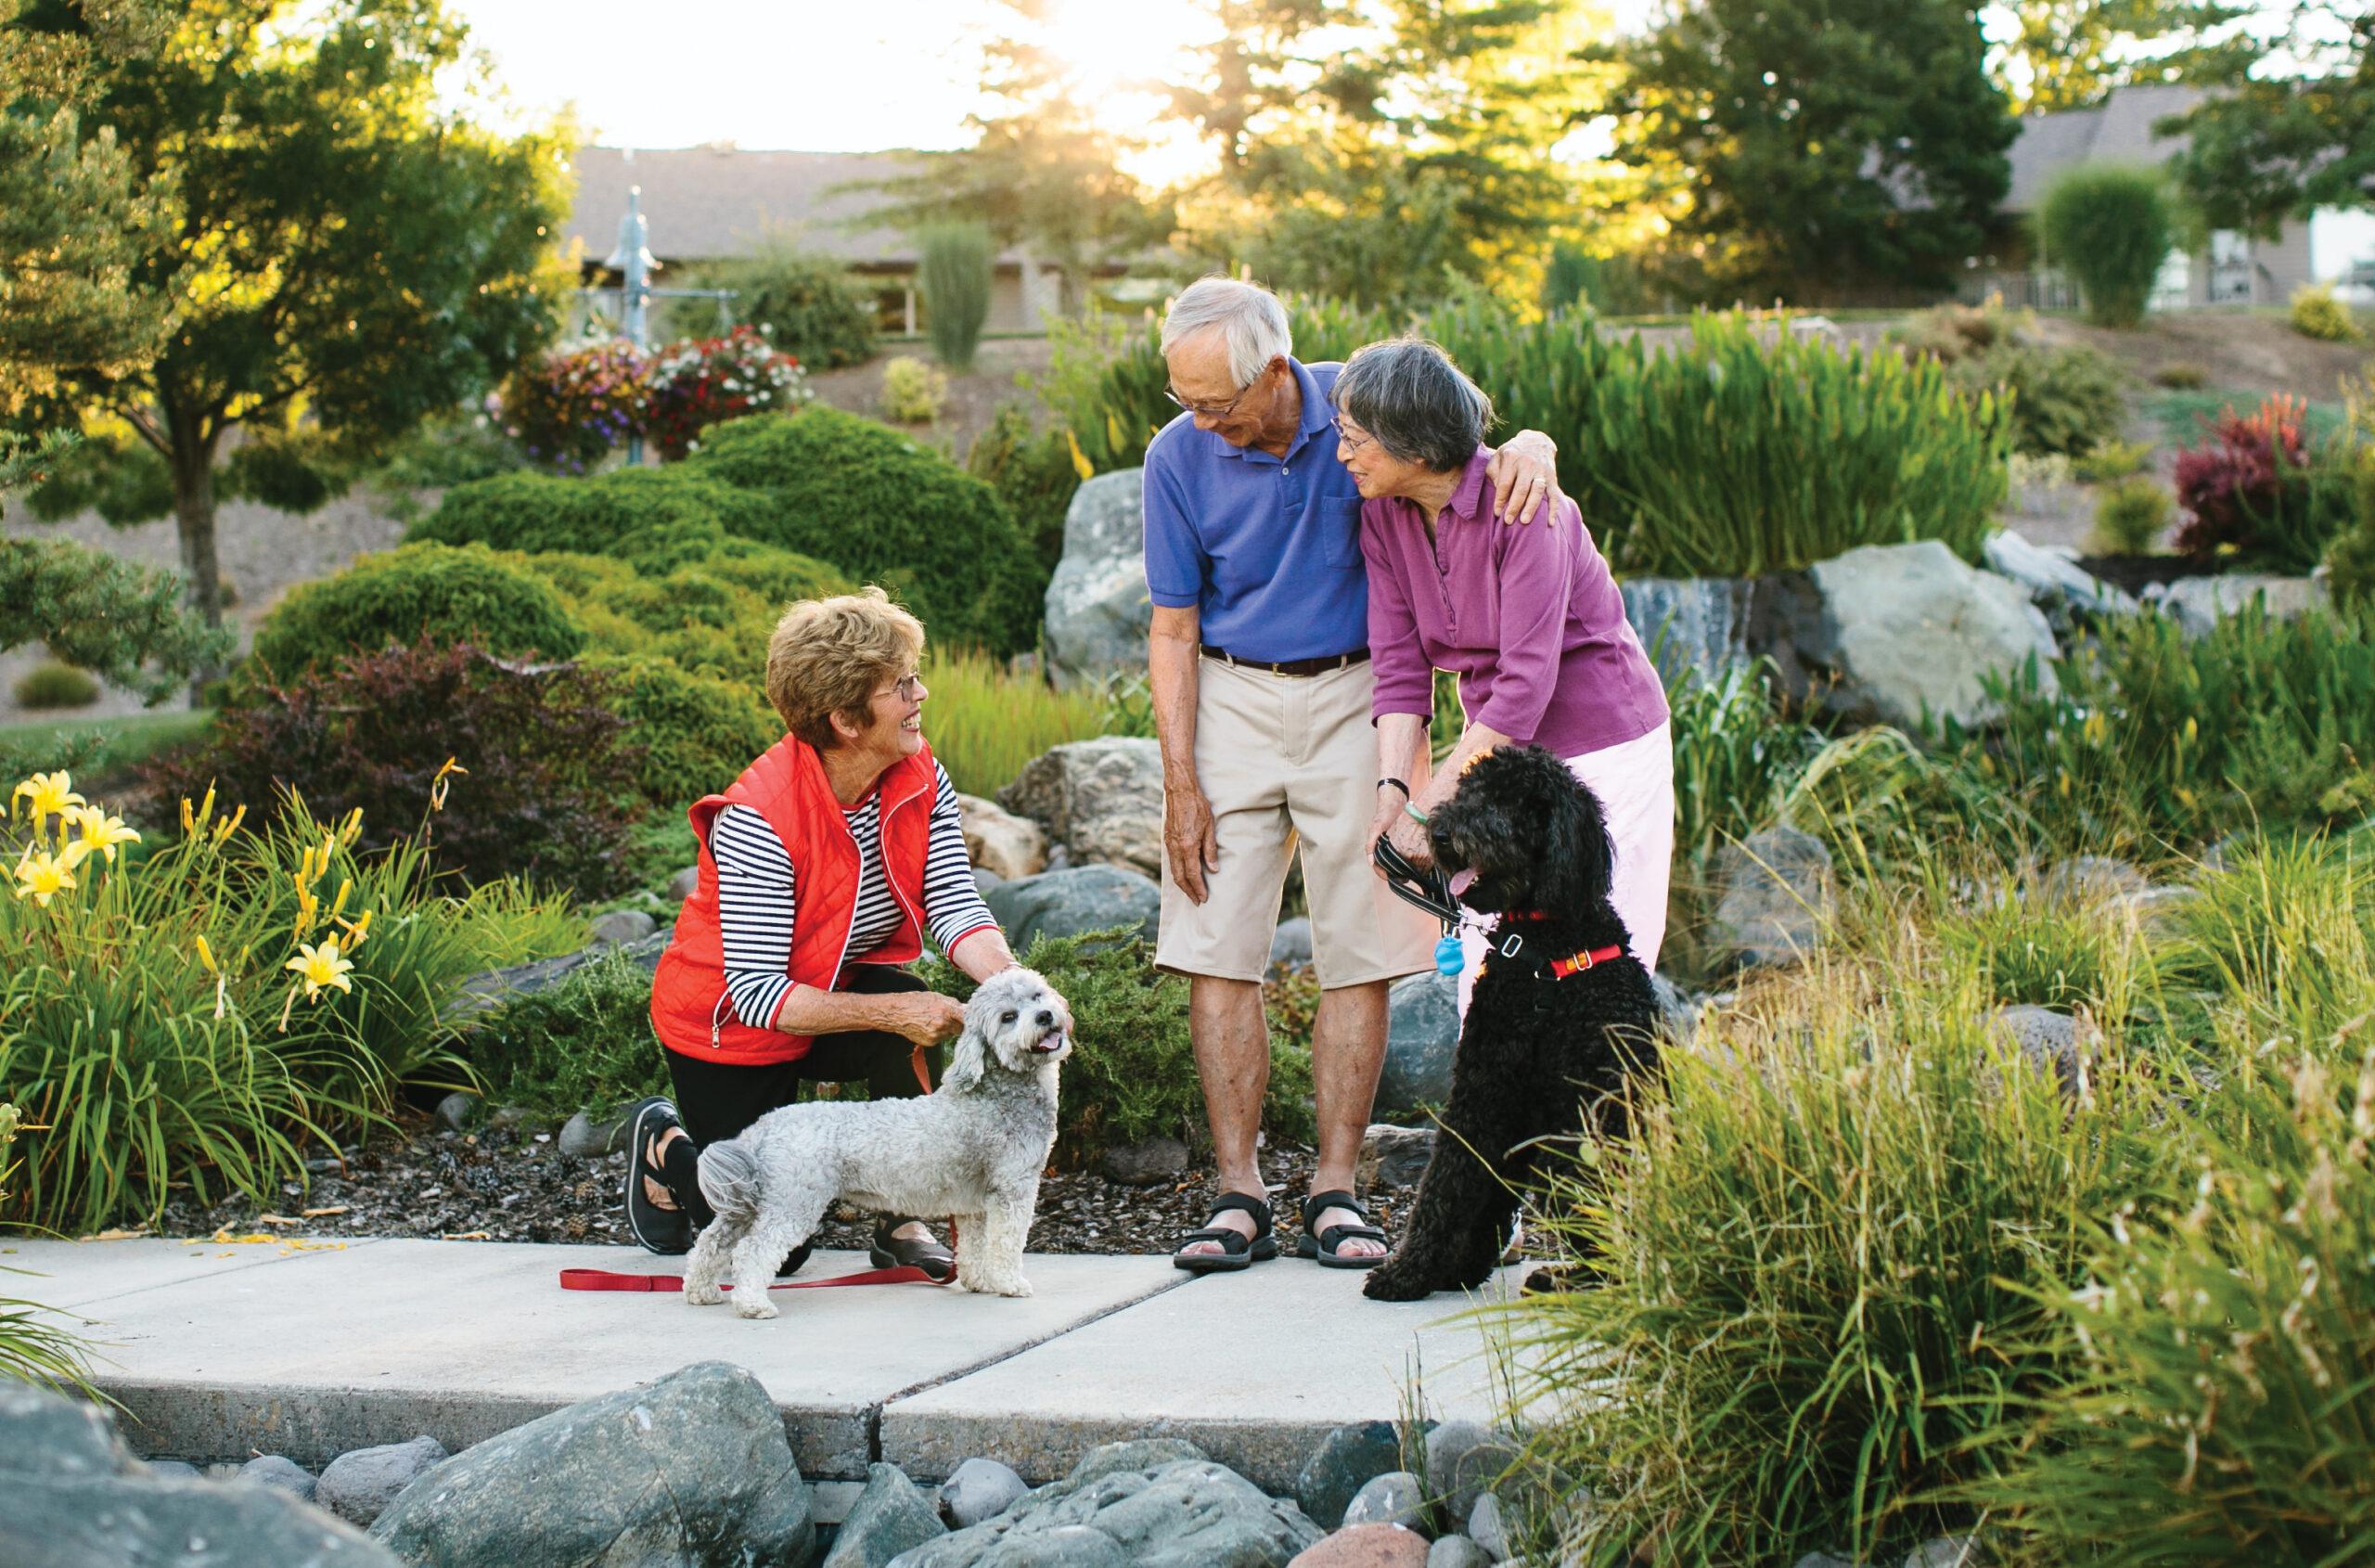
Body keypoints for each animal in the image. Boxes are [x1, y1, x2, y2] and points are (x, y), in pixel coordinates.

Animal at [688, 969, 1078, 1320]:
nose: (1045, 1016)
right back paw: (753, 1304)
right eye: (1008, 1017)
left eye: (1037, 996)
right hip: (793, 1203)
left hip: (749, 1204)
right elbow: (1007, 1243)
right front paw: (1010, 1284)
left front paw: (979, 1281)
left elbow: (974, 1246)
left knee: (712, 1241)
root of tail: (763, 1128)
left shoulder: (975, 1205)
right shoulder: (1013, 1189)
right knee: (752, 1252)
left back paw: (700, 1291)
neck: (997, 1095)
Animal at [1367, 746, 1662, 1302]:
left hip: (1574, 1151)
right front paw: (1450, 1268)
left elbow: (1445, 1179)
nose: (1442, 834)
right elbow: (1471, 1183)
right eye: (1469, 790)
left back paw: (1568, 1280)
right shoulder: (1495, 1088)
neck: (1548, 949)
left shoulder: (1486, 1089)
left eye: (1509, 803)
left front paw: (1408, 1271)